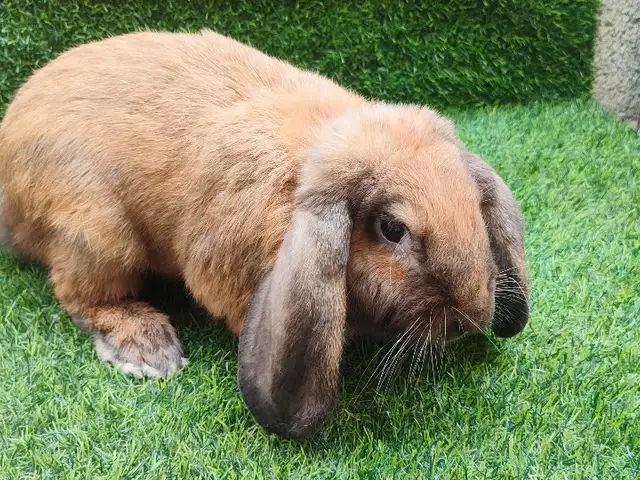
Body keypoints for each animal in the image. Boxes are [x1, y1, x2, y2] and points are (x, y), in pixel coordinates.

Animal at [0, 29, 530, 439]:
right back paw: (149, 351)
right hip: (98, 234)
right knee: (83, 295)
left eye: (472, 205)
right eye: (392, 229)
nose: (473, 317)